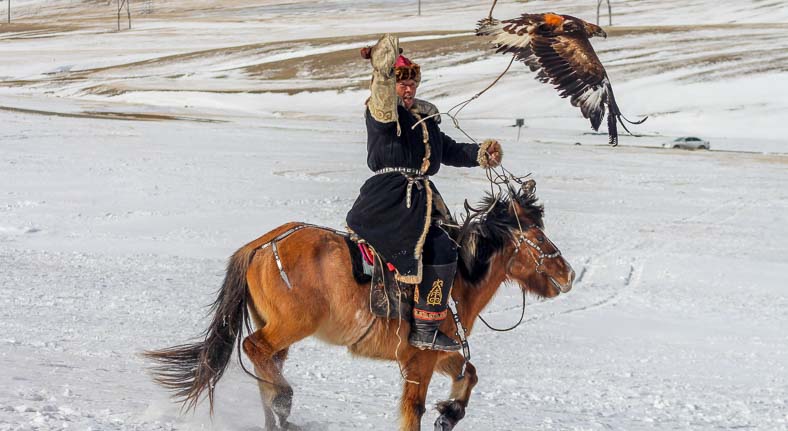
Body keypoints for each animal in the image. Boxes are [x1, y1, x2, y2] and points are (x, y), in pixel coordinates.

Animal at [143, 186, 572, 431]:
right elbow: (413, 410)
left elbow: (470, 374)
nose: (567, 274)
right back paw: (284, 400)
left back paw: (279, 414)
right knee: (254, 349)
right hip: (291, 324)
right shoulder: (419, 358)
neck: (460, 277)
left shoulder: (438, 353)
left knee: (266, 365)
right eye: (537, 237)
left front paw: (449, 413)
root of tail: (262, 245)